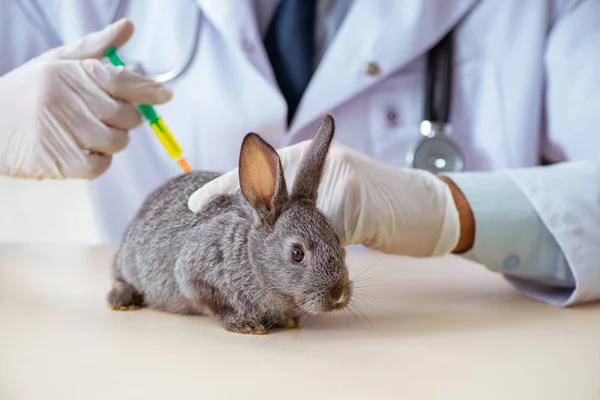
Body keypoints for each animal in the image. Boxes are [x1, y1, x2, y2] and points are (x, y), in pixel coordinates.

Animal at [107, 115, 352, 334]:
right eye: (297, 253)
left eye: (338, 243)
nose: (338, 295)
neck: (251, 260)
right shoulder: (194, 275)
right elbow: (214, 305)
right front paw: (243, 324)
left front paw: (286, 320)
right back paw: (122, 301)